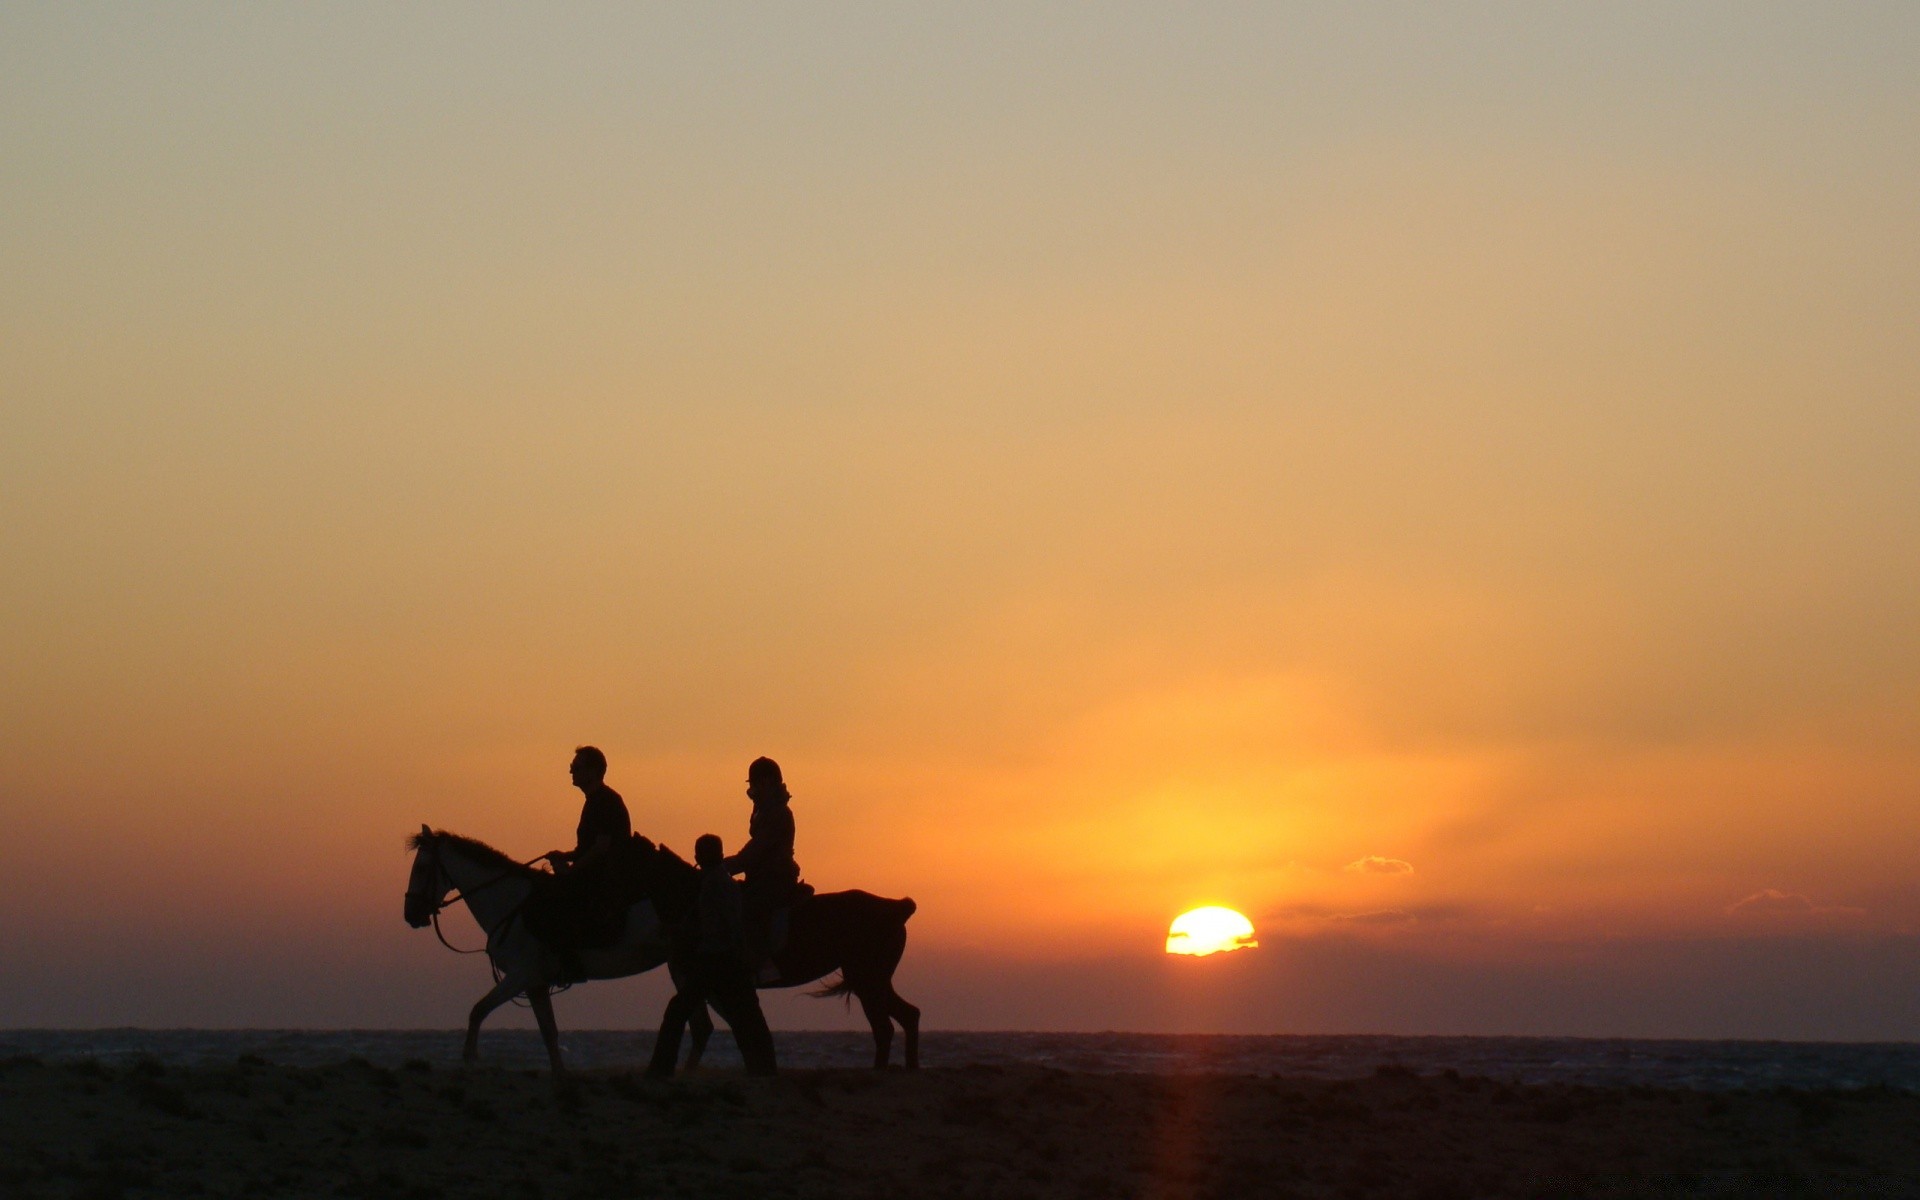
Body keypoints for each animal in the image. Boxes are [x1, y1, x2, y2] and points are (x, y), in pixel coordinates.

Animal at [401, 829, 710, 1075]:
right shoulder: (535, 983)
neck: (510, 903)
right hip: (682, 966)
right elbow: (549, 1031)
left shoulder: (520, 975)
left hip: (685, 964)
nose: (411, 915)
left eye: (421, 868)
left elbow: (478, 1010)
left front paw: (469, 1058)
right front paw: (559, 1072)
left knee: (699, 1025)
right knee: (701, 1027)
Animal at [629, 837, 921, 1075]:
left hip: (867, 979)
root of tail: (897, 907)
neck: (695, 900)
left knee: (884, 1027)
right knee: (908, 1015)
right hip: (873, 980)